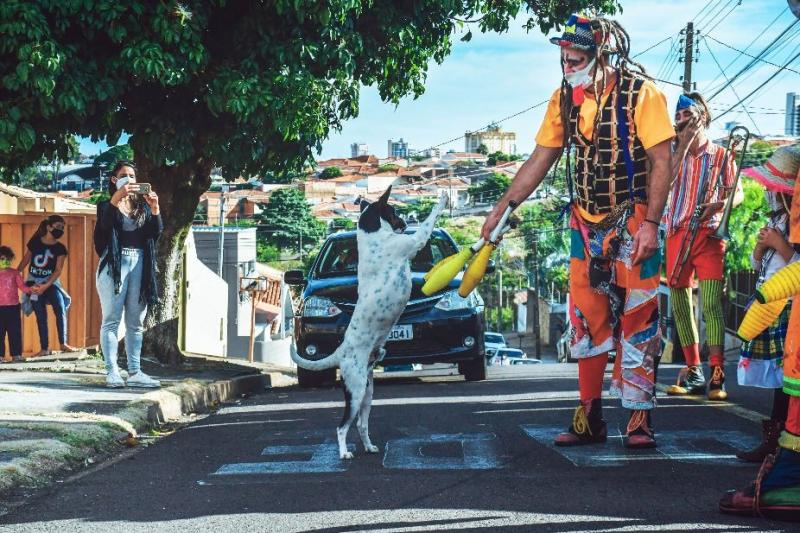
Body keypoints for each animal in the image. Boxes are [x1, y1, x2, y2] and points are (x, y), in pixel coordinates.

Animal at [290, 186, 450, 458]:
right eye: (394, 211)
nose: (405, 223)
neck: (372, 236)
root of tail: (341, 351)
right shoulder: (414, 242)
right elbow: (428, 223)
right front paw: (441, 199)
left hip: (367, 392)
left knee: (361, 424)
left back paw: (369, 446)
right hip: (355, 391)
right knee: (342, 426)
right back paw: (344, 453)